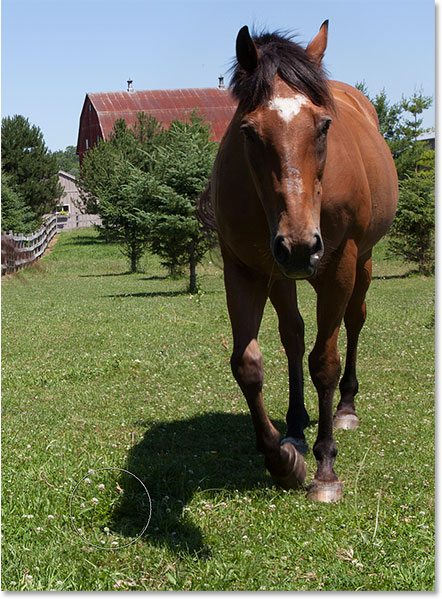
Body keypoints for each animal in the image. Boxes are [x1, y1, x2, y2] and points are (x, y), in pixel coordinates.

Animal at [203, 22, 398, 502]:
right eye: (248, 131)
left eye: (324, 125)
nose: (298, 246)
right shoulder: (247, 269)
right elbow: (248, 365)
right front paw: (283, 461)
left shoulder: (339, 266)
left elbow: (324, 363)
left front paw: (325, 469)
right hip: (280, 275)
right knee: (292, 336)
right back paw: (294, 426)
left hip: (360, 264)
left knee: (353, 323)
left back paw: (345, 408)